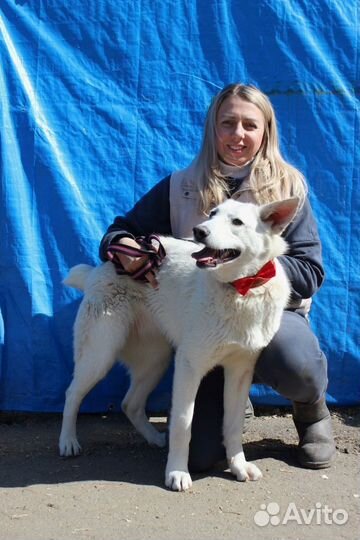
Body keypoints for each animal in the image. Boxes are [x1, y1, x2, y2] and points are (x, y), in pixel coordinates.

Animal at [59, 199, 298, 494]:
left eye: (237, 222)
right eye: (212, 214)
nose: (199, 231)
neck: (240, 290)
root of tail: (98, 269)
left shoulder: (240, 372)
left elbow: (232, 424)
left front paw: (238, 466)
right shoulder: (189, 366)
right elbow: (184, 423)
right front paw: (177, 473)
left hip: (155, 362)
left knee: (129, 404)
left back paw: (153, 438)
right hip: (99, 356)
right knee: (72, 394)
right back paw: (68, 441)